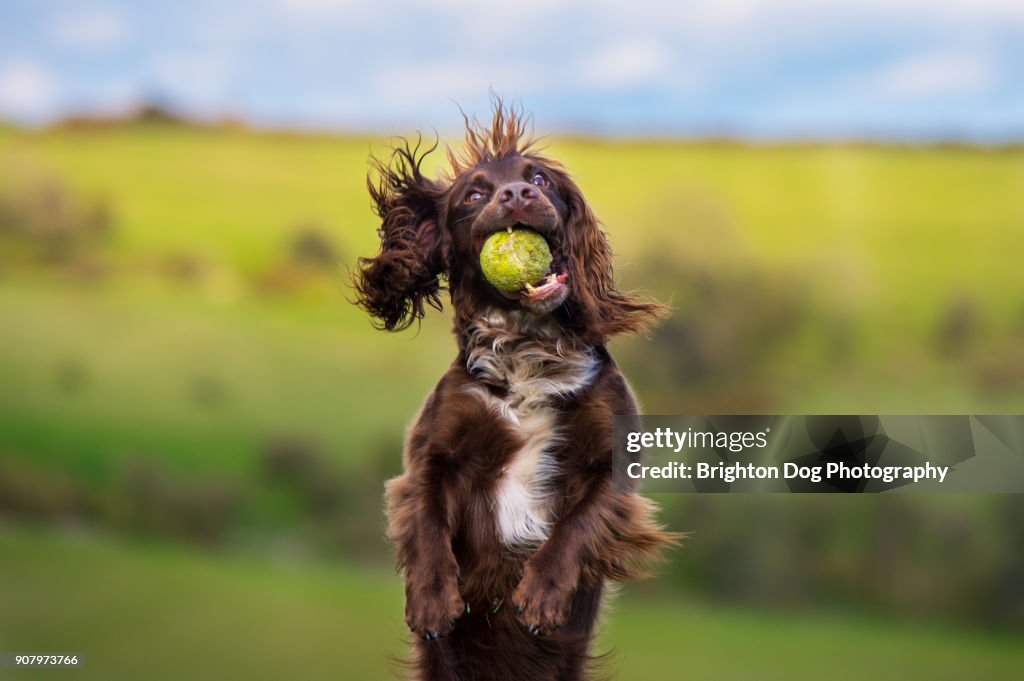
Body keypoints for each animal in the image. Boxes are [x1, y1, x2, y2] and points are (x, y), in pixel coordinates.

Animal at [356, 102, 675, 679]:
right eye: (474, 195)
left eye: (540, 179)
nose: (518, 194)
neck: (527, 351)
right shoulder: (433, 450)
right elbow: (427, 516)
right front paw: (431, 598)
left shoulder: (614, 462)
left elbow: (579, 523)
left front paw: (542, 594)